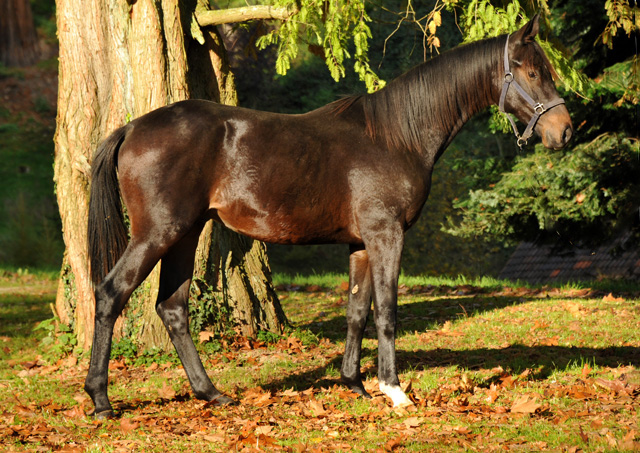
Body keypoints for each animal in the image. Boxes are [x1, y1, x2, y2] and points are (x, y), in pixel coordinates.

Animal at [84, 15, 568, 416]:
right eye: (531, 72)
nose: (564, 131)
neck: (396, 136)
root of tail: (133, 127)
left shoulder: (360, 243)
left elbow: (356, 311)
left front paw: (354, 384)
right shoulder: (387, 235)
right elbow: (386, 311)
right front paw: (395, 391)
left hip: (185, 235)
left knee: (173, 308)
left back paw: (211, 393)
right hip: (158, 233)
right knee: (110, 294)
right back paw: (101, 400)